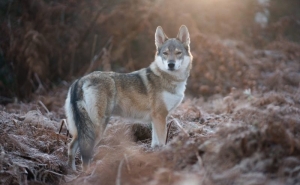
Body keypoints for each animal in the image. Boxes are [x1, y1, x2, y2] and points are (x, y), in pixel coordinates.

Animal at [64, 25, 193, 170]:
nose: (171, 64)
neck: (169, 79)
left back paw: (72, 172)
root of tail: (80, 80)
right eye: (165, 53)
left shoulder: (155, 119)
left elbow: (155, 144)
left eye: (178, 53)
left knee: (71, 147)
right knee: (84, 155)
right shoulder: (160, 116)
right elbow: (162, 143)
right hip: (97, 129)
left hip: (82, 130)